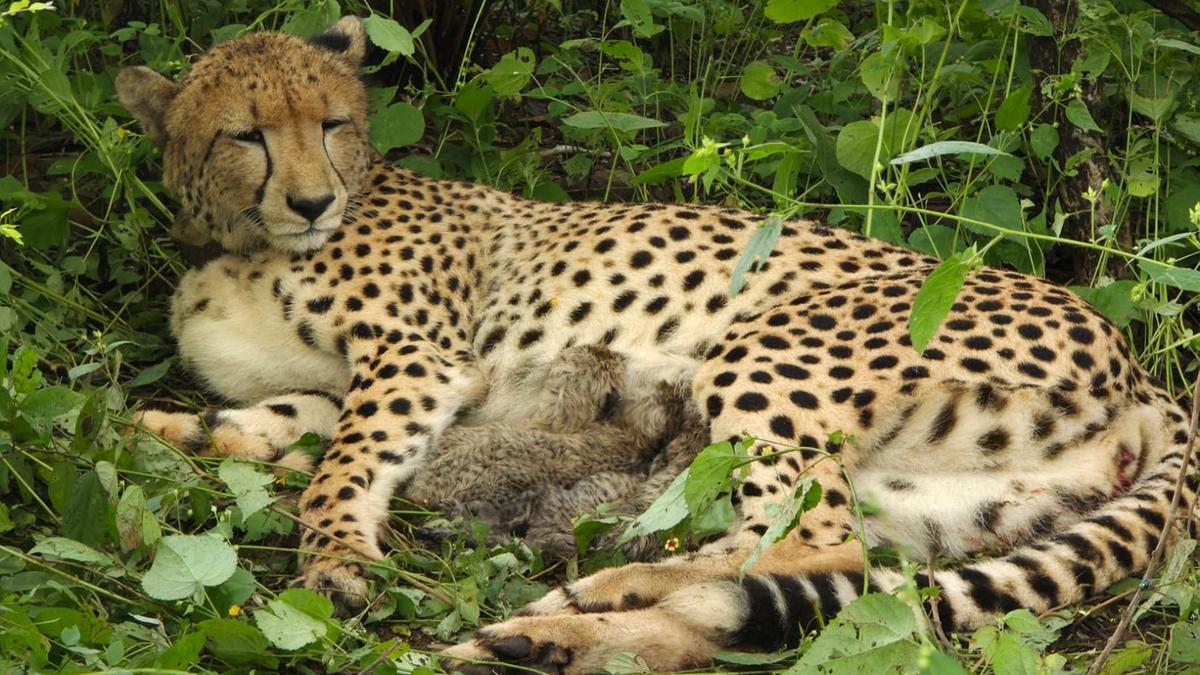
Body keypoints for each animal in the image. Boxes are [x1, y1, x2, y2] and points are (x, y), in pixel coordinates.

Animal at [116, 16, 1196, 673]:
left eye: (333, 122)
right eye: (246, 134)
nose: (311, 200)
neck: (242, 242)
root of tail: (1144, 368)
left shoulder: (418, 360)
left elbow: (340, 463)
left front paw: (334, 556)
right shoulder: (364, 382)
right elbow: (273, 420)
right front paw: (164, 432)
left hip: (768, 350)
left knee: (812, 542)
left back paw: (576, 612)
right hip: (946, 498)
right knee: (799, 569)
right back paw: (564, 626)